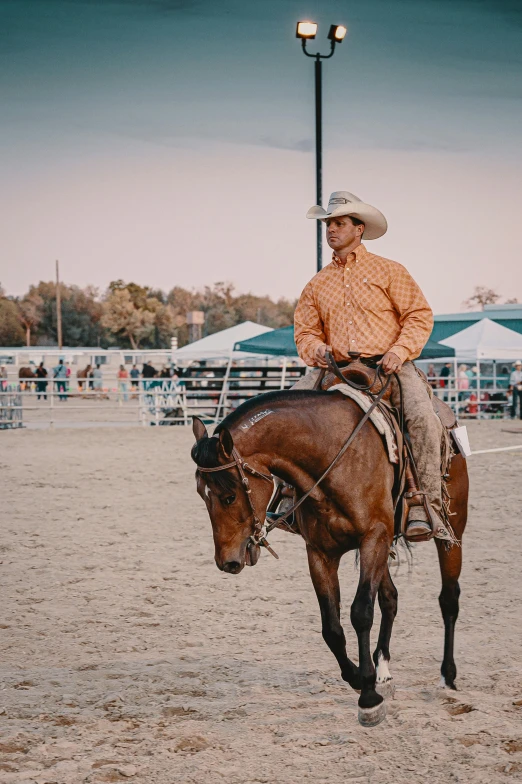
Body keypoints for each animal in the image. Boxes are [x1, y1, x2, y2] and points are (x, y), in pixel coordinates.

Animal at [191, 388, 468, 724]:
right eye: (200, 493)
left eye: (229, 496)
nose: (226, 562)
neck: (333, 459)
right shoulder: (321, 553)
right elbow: (332, 628)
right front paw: (360, 677)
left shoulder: (373, 538)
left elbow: (361, 612)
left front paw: (369, 699)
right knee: (390, 598)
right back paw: (383, 673)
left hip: (450, 531)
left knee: (448, 599)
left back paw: (447, 676)